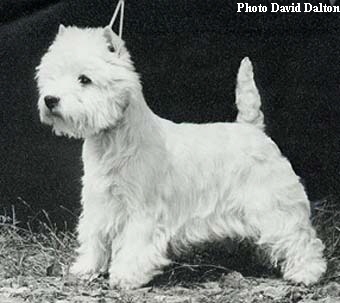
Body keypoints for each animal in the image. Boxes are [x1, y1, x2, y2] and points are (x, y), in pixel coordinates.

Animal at [35, 25, 326, 290]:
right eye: (52, 76)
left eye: (84, 79)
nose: (50, 99)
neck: (112, 141)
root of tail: (253, 129)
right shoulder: (99, 204)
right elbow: (94, 237)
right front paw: (86, 269)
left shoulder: (143, 211)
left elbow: (135, 244)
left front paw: (126, 276)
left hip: (273, 204)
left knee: (299, 238)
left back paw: (306, 273)